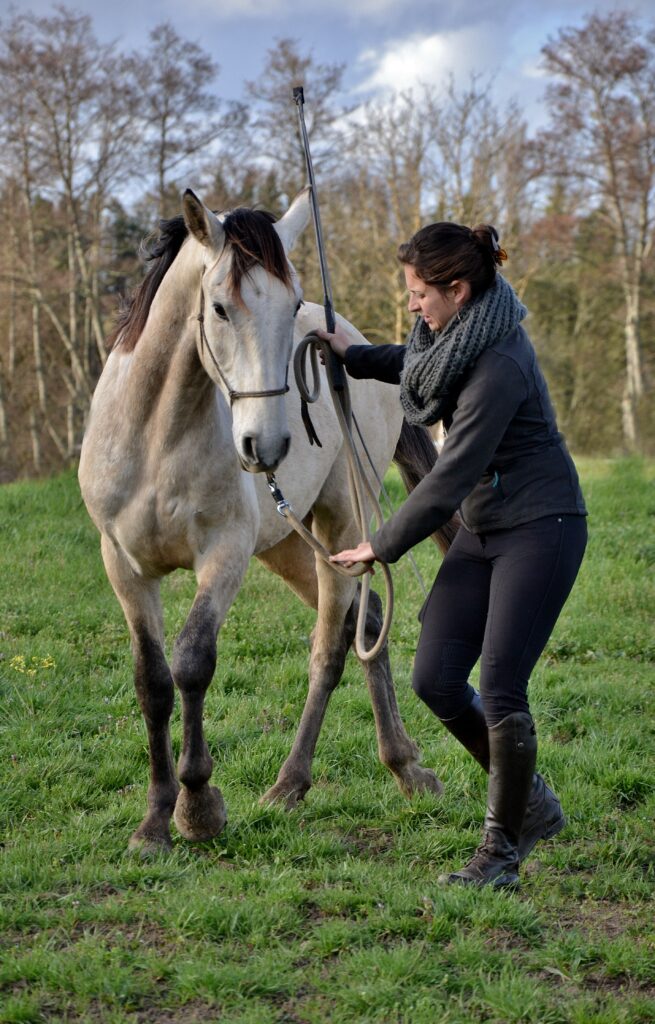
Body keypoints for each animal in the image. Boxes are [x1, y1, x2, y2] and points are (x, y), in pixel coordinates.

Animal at [76, 186, 452, 856]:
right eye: (220, 308)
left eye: (293, 304)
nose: (266, 444)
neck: (155, 438)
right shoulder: (123, 565)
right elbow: (152, 680)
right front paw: (154, 821)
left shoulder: (223, 556)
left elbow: (193, 661)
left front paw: (198, 806)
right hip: (289, 546)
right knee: (366, 625)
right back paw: (402, 764)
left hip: (342, 527)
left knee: (331, 647)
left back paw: (292, 783)